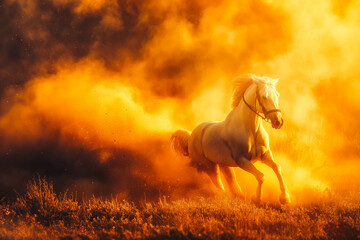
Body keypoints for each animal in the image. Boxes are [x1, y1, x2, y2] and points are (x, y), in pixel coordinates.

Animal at [170, 74, 292, 203]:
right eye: (264, 97)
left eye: (277, 95)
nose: (278, 122)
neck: (251, 130)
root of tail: (191, 136)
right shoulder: (242, 160)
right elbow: (261, 176)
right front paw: (257, 198)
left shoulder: (264, 155)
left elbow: (277, 168)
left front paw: (285, 198)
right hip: (209, 166)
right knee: (218, 183)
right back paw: (227, 197)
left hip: (224, 164)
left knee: (230, 180)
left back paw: (238, 195)